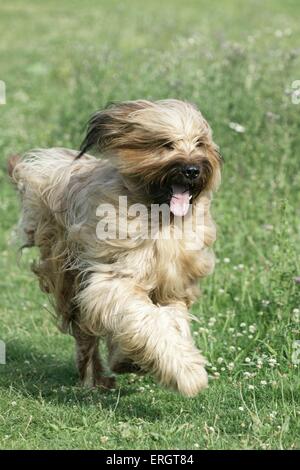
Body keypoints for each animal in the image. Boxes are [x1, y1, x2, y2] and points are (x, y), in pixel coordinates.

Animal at [8, 99, 221, 396]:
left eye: (199, 143)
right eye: (166, 144)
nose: (192, 170)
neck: (159, 218)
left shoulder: (173, 288)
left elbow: (171, 321)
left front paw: (136, 359)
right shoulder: (113, 280)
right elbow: (144, 318)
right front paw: (187, 373)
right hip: (66, 274)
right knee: (83, 331)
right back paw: (94, 376)